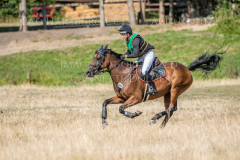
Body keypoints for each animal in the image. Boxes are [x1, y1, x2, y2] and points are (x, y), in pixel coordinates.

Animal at [85, 43, 228, 128]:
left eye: (98, 58)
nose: (88, 72)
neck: (123, 74)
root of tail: (186, 68)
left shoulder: (136, 98)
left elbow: (121, 109)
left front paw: (135, 114)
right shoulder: (122, 98)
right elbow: (105, 102)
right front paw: (104, 122)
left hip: (176, 89)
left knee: (171, 108)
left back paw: (155, 118)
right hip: (168, 93)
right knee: (171, 109)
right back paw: (161, 126)